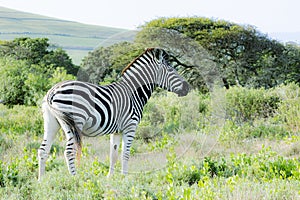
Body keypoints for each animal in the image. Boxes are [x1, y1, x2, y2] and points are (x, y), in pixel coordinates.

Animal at [37, 47, 188, 180]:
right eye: (171, 69)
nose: (188, 87)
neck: (133, 93)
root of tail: (52, 91)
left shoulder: (116, 131)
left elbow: (113, 154)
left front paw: (110, 178)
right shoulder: (130, 126)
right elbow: (125, 154)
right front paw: (125, 178)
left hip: (52, 123)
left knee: (43, 150)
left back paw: (42, 180)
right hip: (74, 122)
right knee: (69, 152)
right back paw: (75, 179)